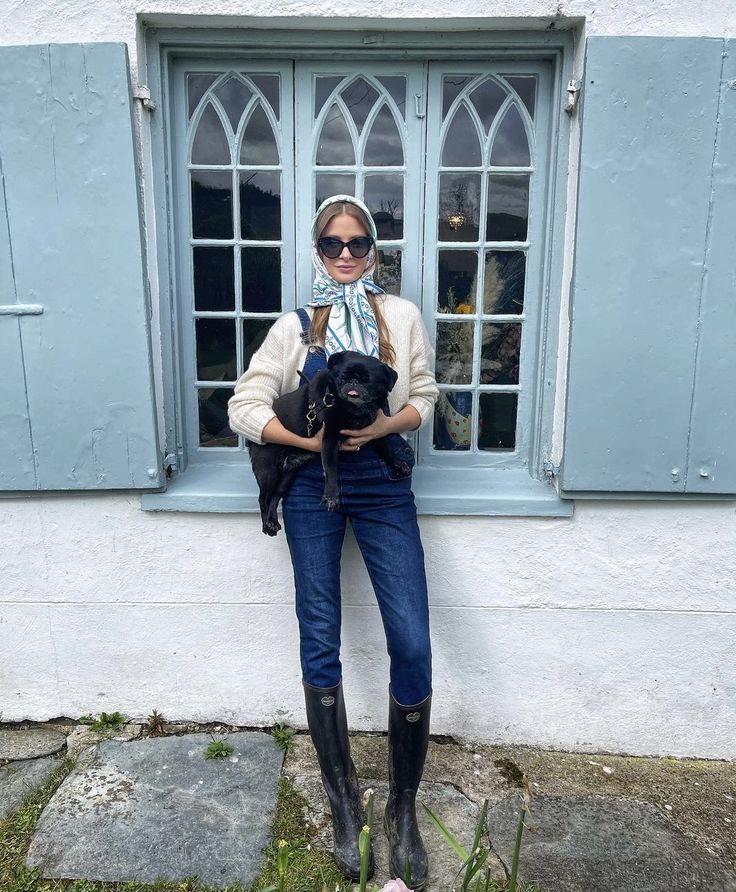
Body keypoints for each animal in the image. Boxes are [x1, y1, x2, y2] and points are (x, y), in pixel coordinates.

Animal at [249, 352, 414, 536]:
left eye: (367, 380)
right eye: (342, 378)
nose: (353, 382)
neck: (353, 409)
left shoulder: (374, 433)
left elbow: (387, 450)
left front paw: (399, 464)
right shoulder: (329, 440)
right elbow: (331, 470)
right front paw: (331, 497)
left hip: (288, 475)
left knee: (275, 496)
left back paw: (272, 522)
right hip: (268, 471)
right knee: (263, 498)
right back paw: (266, 525)